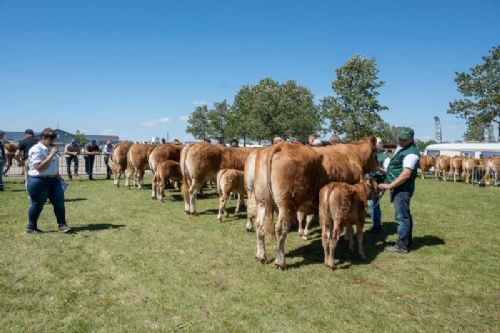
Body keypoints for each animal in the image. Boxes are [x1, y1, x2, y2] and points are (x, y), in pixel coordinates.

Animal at [252, 136, 376, 268]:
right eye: (376, 152)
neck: (354, 154)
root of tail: (281, 146)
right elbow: (349, 226)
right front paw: (349, 242)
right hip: (286, 205)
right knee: (280, 228)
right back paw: (281, 262)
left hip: (261, 201)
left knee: (259, 225)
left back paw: (261, 256)